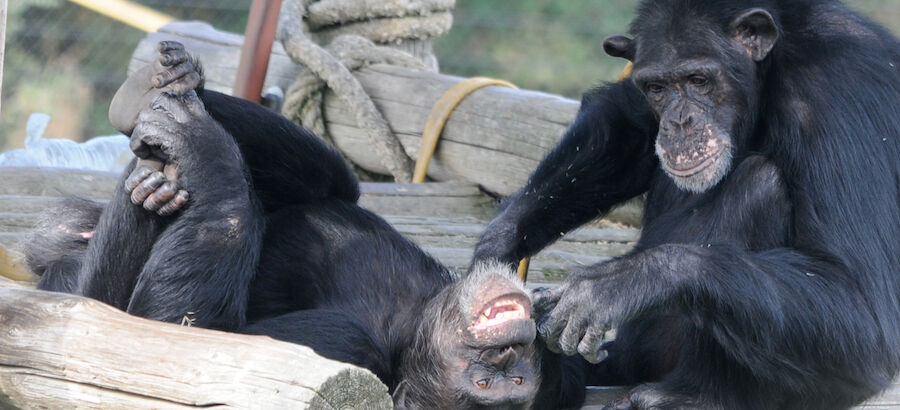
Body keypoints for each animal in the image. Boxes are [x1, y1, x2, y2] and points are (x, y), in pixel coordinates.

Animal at [24, 43, 588, 408]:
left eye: (504, 383)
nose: (508, 349)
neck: (414, 319)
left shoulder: (345, 347)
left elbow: (183, 335)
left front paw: (200, 143)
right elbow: (330, 182)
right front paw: (177, 88)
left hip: (78, 299)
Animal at [472, 0, 900, 408]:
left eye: (699, 80)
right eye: (657, 87)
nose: (679, 122)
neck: (770, 70)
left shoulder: (839, 95)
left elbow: (861, 305)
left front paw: (620, 282)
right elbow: (627, 120)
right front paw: (499, 243)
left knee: (762, 183)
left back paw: (699, 393)